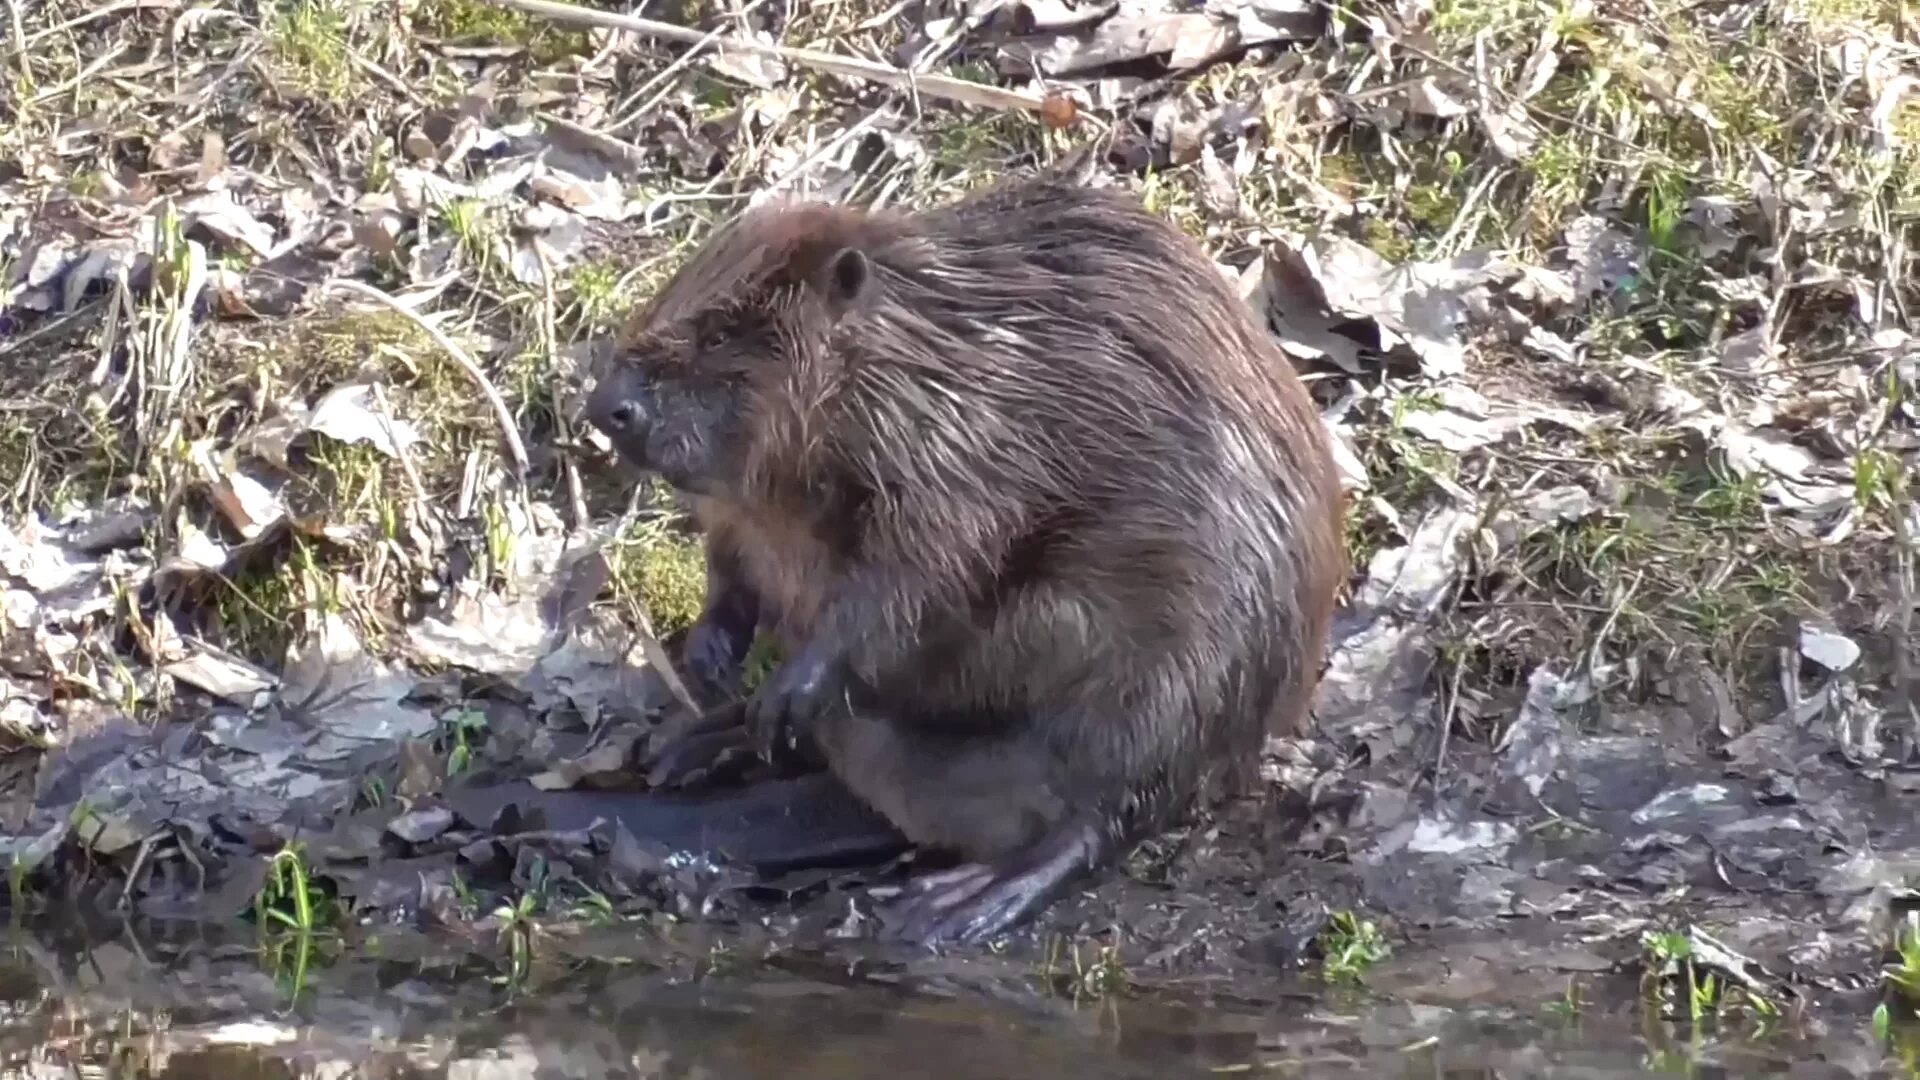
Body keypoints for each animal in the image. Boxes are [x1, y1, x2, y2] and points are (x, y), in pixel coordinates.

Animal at [583, 171, 1351, 945]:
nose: (605, 407)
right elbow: (734, 559)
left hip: (1172, 687)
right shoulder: (757, 508)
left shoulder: (964, 442)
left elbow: (927, 566)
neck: (922, 350)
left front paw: (788, 692)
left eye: (720, 332)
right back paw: (696, 746)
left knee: (1104, 811)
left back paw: (957, 902)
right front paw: (712, 655)